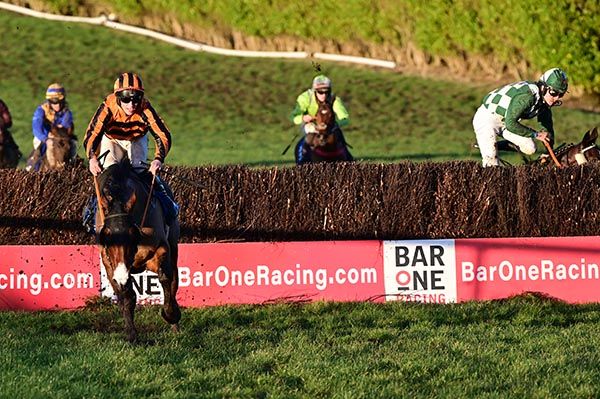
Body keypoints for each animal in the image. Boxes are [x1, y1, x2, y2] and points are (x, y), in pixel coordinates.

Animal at [95, 159, 180, 344]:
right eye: (107, 236)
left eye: (132, 234)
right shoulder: (109, 261)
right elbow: (126, 294)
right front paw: (131, 334)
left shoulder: (161, 248)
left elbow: (165, 279)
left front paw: (170, 314)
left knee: (173, 282)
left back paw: (175, 324)